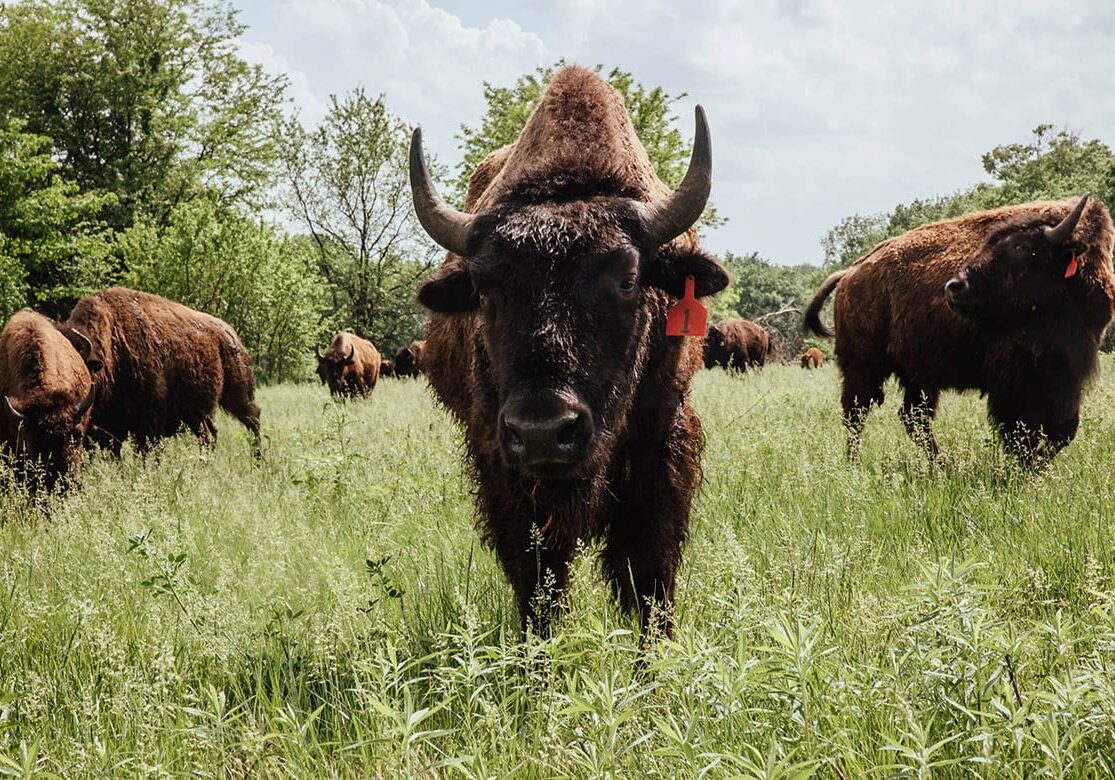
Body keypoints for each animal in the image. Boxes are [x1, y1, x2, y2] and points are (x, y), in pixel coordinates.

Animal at [57, 287, 261, 456]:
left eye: (79, 371)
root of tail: (231, 334)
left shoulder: (150, 421)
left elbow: (148, 450)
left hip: (237, 395)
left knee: (253, 419)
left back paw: (258, 461)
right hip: (196, 413)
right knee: (209, 434)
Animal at [409, 66, 728, 638]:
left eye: (628, 279)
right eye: (483, 288)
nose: (542, 431)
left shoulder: (663, 445)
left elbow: (649, 575)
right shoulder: (503, 466)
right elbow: (538, 582)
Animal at [804, 195, 1115, 463]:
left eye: (1020, 247)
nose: (955, 287)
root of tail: (850, 273)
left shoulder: (1068, 374)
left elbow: (1063, 430)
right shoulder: (1014, 380)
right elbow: (1019, 431)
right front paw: (1020, 470)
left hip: (919, 375)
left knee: (912, 418)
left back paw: (942, 465)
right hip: (863, 367)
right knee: (856, 415)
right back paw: (855, 465)